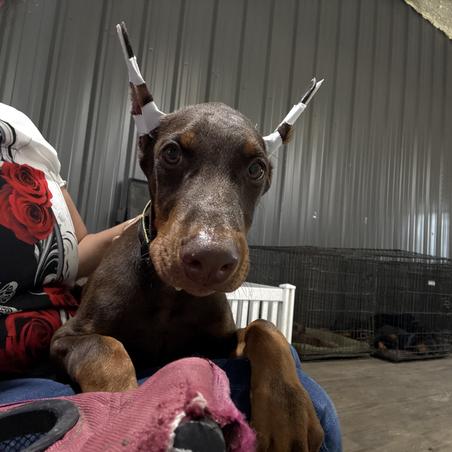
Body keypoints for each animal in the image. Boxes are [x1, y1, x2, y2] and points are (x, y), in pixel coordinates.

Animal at [50, 24, 324, 452]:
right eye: (172, 153)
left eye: (257, 168)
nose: (210, 260)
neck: (168, 294)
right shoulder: (67, 337)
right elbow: (106, 348)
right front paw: (124, 412)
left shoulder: (218, 343)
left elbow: (265, 328)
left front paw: (288, 411)